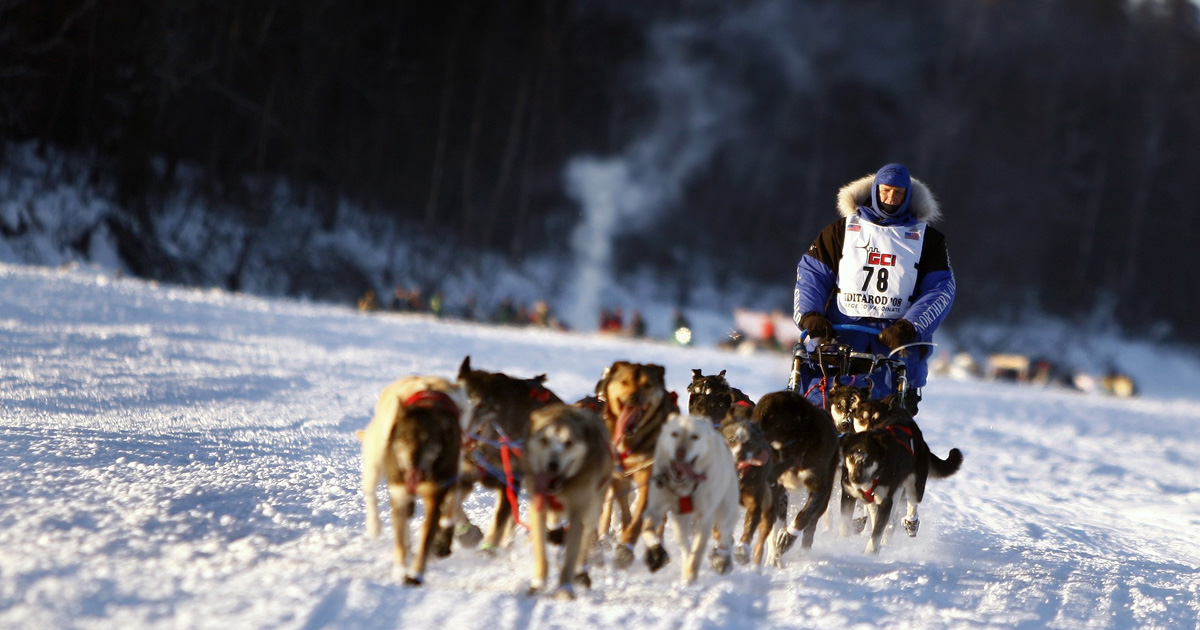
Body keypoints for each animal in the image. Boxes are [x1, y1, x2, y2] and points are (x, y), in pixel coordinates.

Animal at [355, 374, 468, 585]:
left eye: (428, 441)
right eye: (406, 439)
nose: (412, 466)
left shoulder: (437, 490)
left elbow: (427, 536)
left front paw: (416, 573)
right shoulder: (399, 494)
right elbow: (399, 538)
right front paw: (400, 570)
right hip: (375, 463)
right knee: (371, 495)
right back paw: (374, 527)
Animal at [525, 403, 614, 600]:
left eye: (568, 442)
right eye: (544, 440)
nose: (553, 464)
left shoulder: (579, 512)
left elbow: (572, 554)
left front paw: (564, 589)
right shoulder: (538, 506)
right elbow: (540, 549)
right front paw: (538, 583)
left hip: (593, 510)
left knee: (585, 541)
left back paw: (581, 571)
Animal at [595, 357, 681, 568]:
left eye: (647, 385)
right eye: (624, 382)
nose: (634, 397)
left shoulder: (649, 477)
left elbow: (639, 516)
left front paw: (626, 549)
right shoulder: (619, 478)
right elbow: (626, 513)